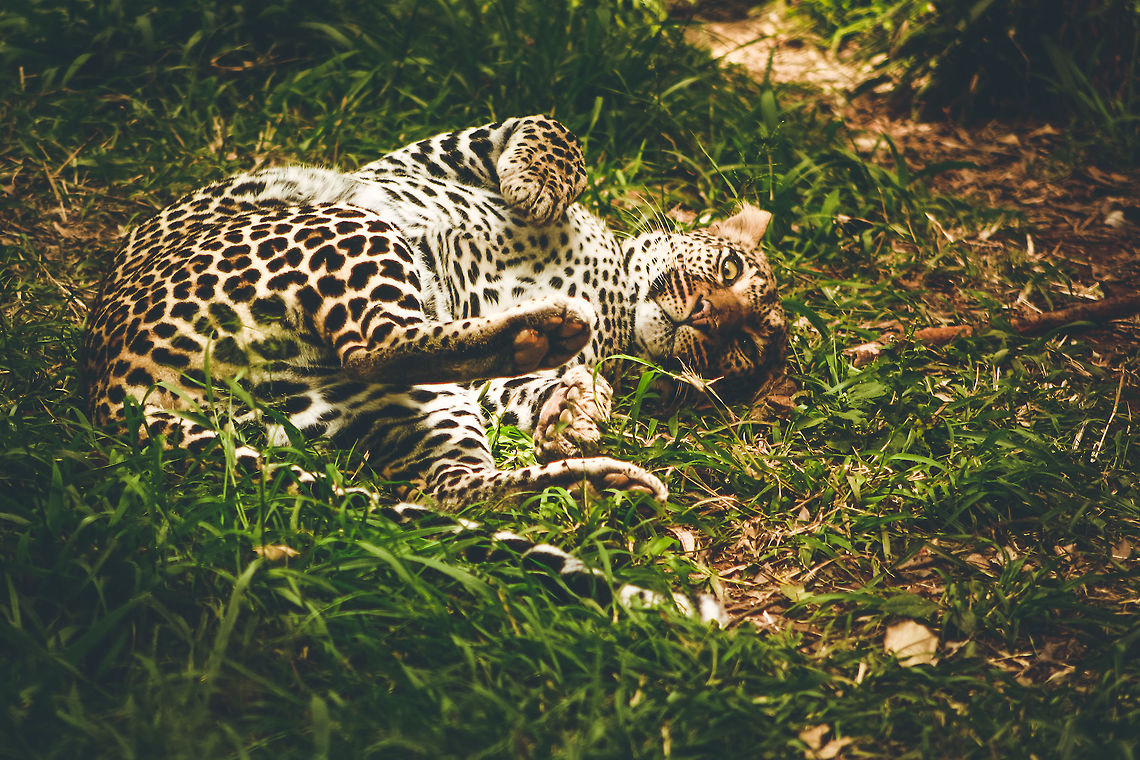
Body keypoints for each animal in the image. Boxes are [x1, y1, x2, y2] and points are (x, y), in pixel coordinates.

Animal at [81, 115, 786, 617]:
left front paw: (575, 409)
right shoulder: (416, 160)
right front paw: (537, 189)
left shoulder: (493, 375)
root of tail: (113, 386)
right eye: (729, 269)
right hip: (350, 223)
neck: (611, 295)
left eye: (742, 348)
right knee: (383, 347)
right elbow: (546, 128)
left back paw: (592, 465)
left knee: (433, 461)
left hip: (394, 396)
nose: (708, 316)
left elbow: (517, 384)